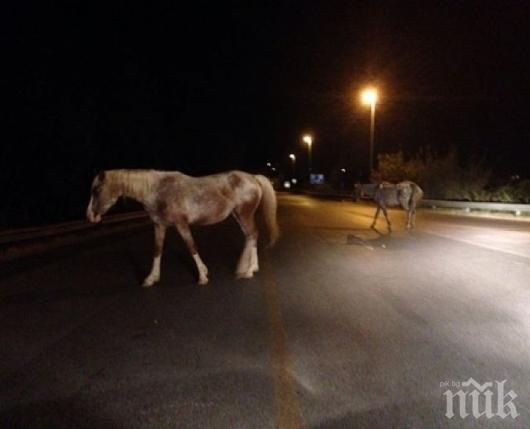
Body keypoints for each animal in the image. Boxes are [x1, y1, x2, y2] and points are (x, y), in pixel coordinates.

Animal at [84, 169, 278, 286]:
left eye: (96, 190)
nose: (89, 216)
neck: (158, 191)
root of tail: (253, 177)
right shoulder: (160, 225)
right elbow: (157, 250)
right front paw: (151, 278)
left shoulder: (181, 224)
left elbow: (191, 246)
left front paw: (203, 275)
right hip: (238, 215)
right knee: (251, 236)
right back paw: (250, 267)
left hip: (244, 214)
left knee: (252, 235)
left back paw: (248, 270)